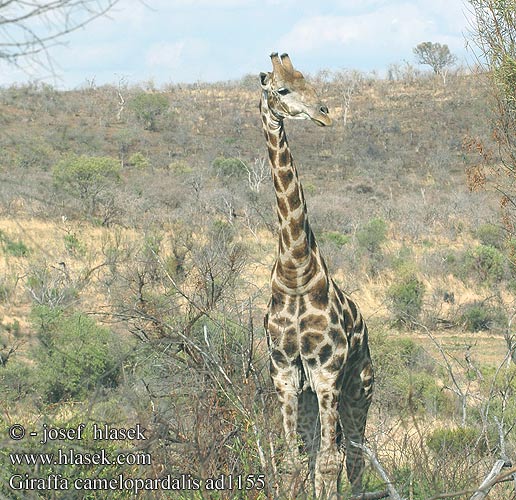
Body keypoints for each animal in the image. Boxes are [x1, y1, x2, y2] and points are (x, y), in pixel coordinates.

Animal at [260, 52, 372, 498]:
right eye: (282, 88)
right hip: (311, 397)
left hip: (360, 390)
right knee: (321, 455)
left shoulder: (328, 373)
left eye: (309, 80)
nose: (324, 113)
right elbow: (296, 461)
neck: (295, 270)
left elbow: (328, 463)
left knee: (354, 457)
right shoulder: (285, 374)